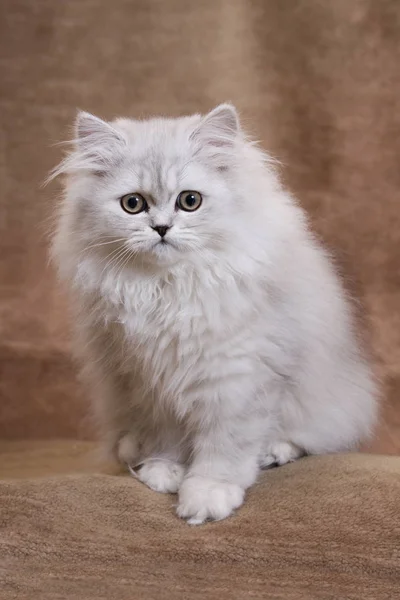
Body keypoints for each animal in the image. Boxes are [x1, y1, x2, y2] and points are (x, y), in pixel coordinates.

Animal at [50, 105, 378, 524]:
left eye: (189, 201)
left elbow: (225, 447)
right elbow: (166, 436)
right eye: (133, 204)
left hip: (329, 406)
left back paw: (273, 452)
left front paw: (207, 495)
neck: (168, 288)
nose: (161, 228)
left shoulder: (237, 379)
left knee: (313, 437)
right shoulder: (150, 379)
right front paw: (164, 471)